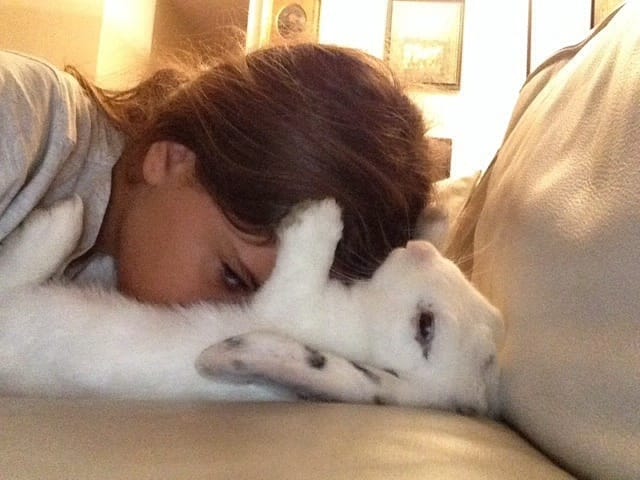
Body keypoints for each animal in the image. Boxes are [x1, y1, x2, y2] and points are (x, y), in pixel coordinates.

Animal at [0, 196, 503, 416]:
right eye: (495, 317)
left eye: (425, 327)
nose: (419, 250)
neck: (363, 326)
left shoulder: (290, 307)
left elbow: (301, 267)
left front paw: (319, 213)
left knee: (18, 266)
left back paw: (61, 216)